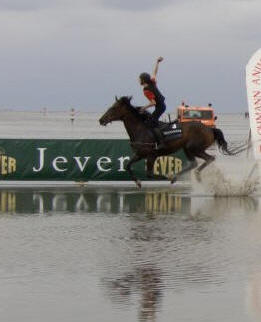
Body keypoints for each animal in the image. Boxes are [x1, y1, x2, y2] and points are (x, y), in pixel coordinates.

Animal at [99, 95, 244, 187]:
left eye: (113, 108)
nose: (101, 120)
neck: (141, 129)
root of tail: (210, 129)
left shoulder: (151, 155)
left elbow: (150, 174)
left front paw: (168, 176)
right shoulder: (139, 154)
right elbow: (128, 166)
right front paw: (138, 182)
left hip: (193, 147)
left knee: (209, 158)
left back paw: (190, 175)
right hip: (187, 148)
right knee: (195, 163)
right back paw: (184, 176)